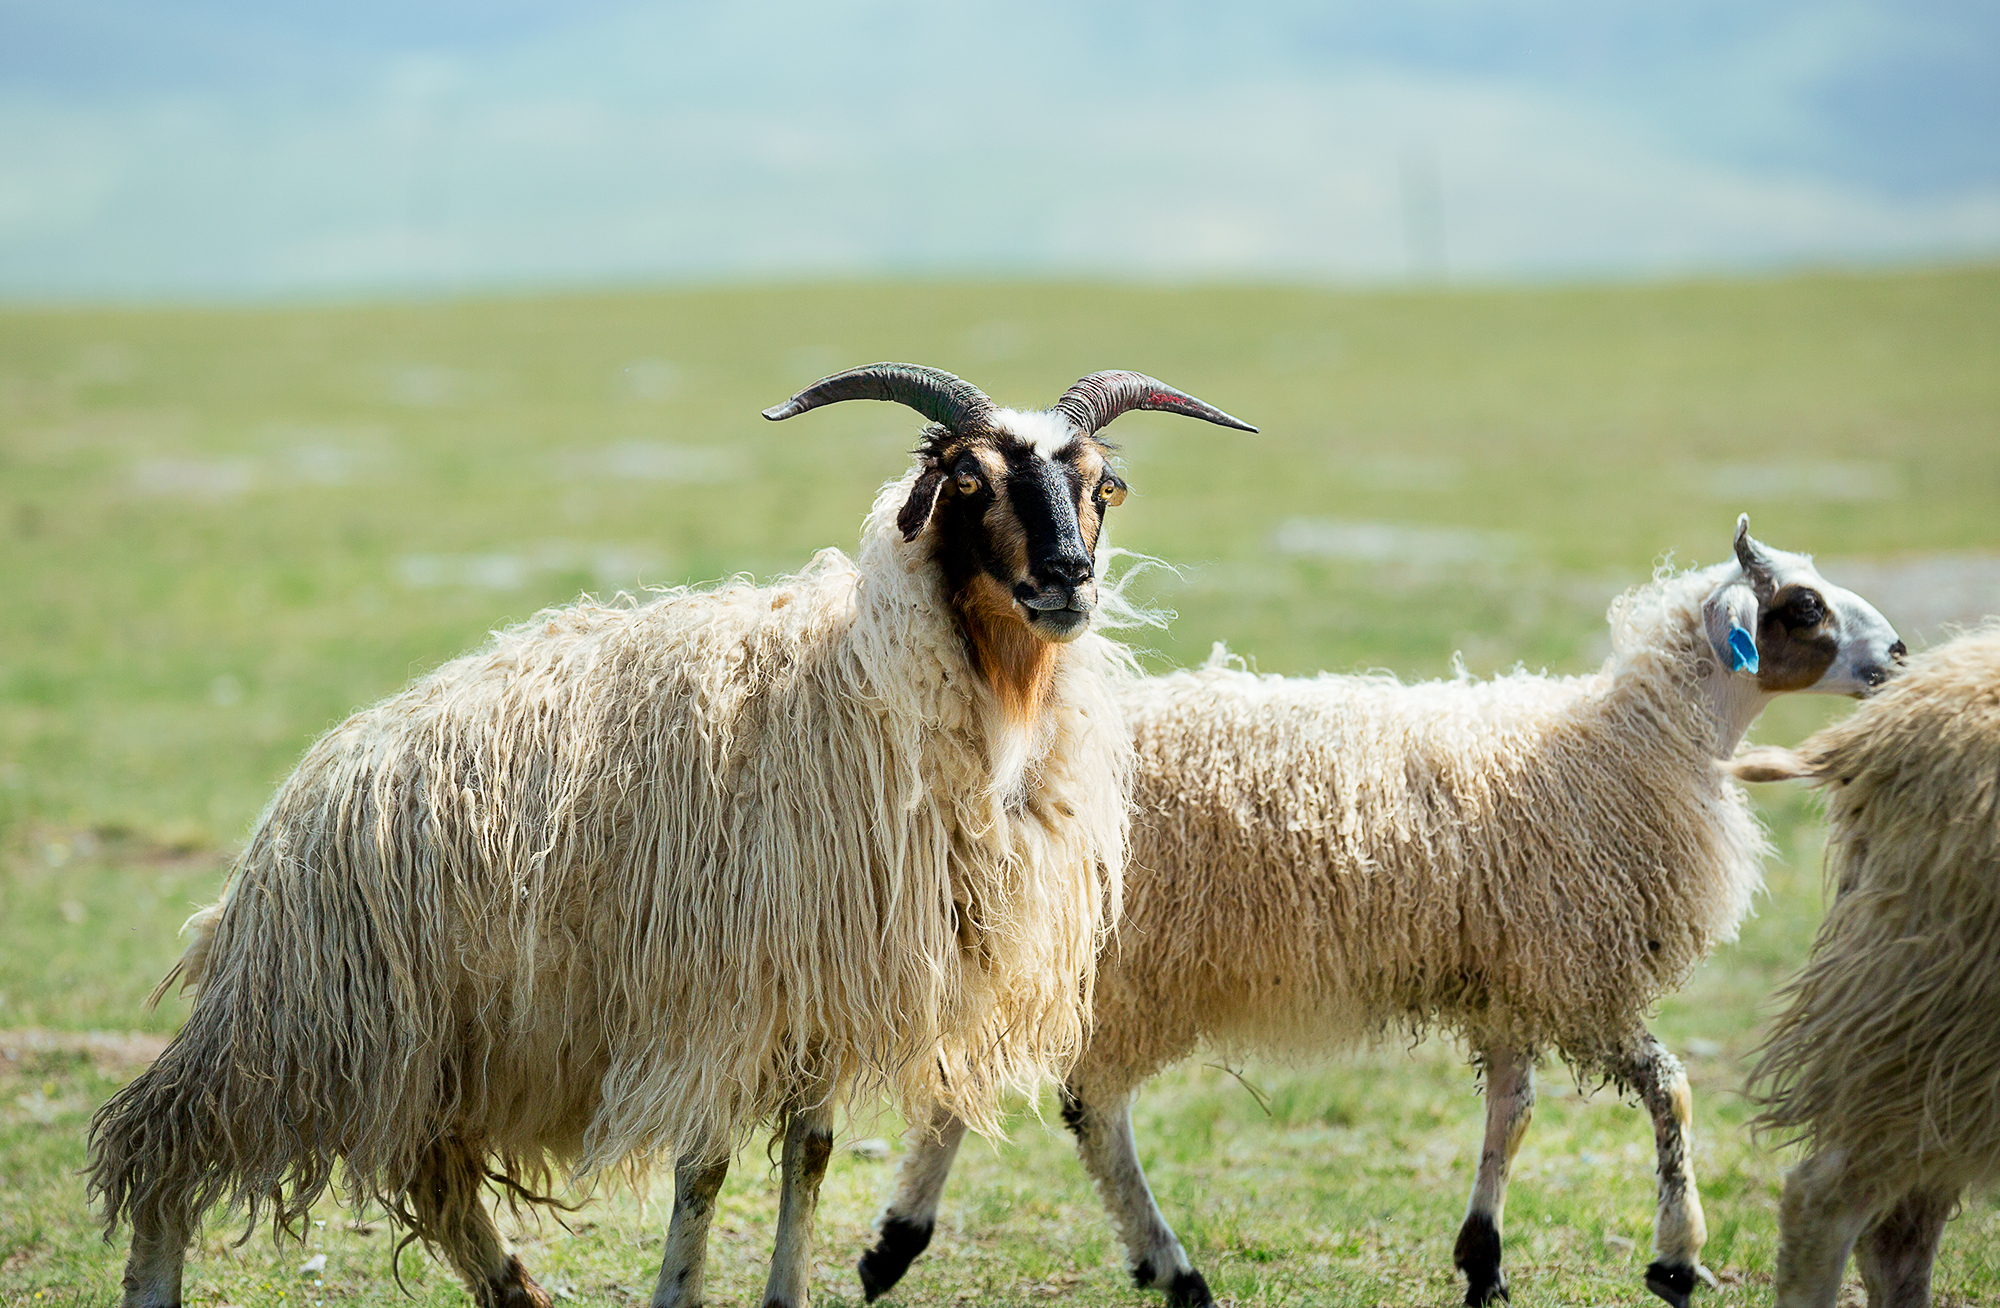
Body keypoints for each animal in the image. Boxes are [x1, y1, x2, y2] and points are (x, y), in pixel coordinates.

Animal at [94, 364, 1256, 1308]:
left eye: (1100, 485)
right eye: (966, 480)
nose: (1066, 580)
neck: (878, 685)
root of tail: (296, 808)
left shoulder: (814, 984)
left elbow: (810, 1153)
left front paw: (786, 1293)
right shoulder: (720, 988)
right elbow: (704, 1170)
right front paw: (680, 1288)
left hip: (430, 1045)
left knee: (437, 1178)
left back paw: (515, 1292)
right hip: (315, 1027)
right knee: (163, 1145)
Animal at [856, 516, 1904, 1308]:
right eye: (1802, 606)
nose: (1896, 653)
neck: (1633, 746)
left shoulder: (1514, 976)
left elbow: (1512, 1113)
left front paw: (1482, 1259)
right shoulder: (1577, 977)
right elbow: (1673, 1091)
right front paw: (1678, 1258)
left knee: (1046, 1099)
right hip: (1115, 965)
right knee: (1057, 1103)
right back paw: (995, 1250)